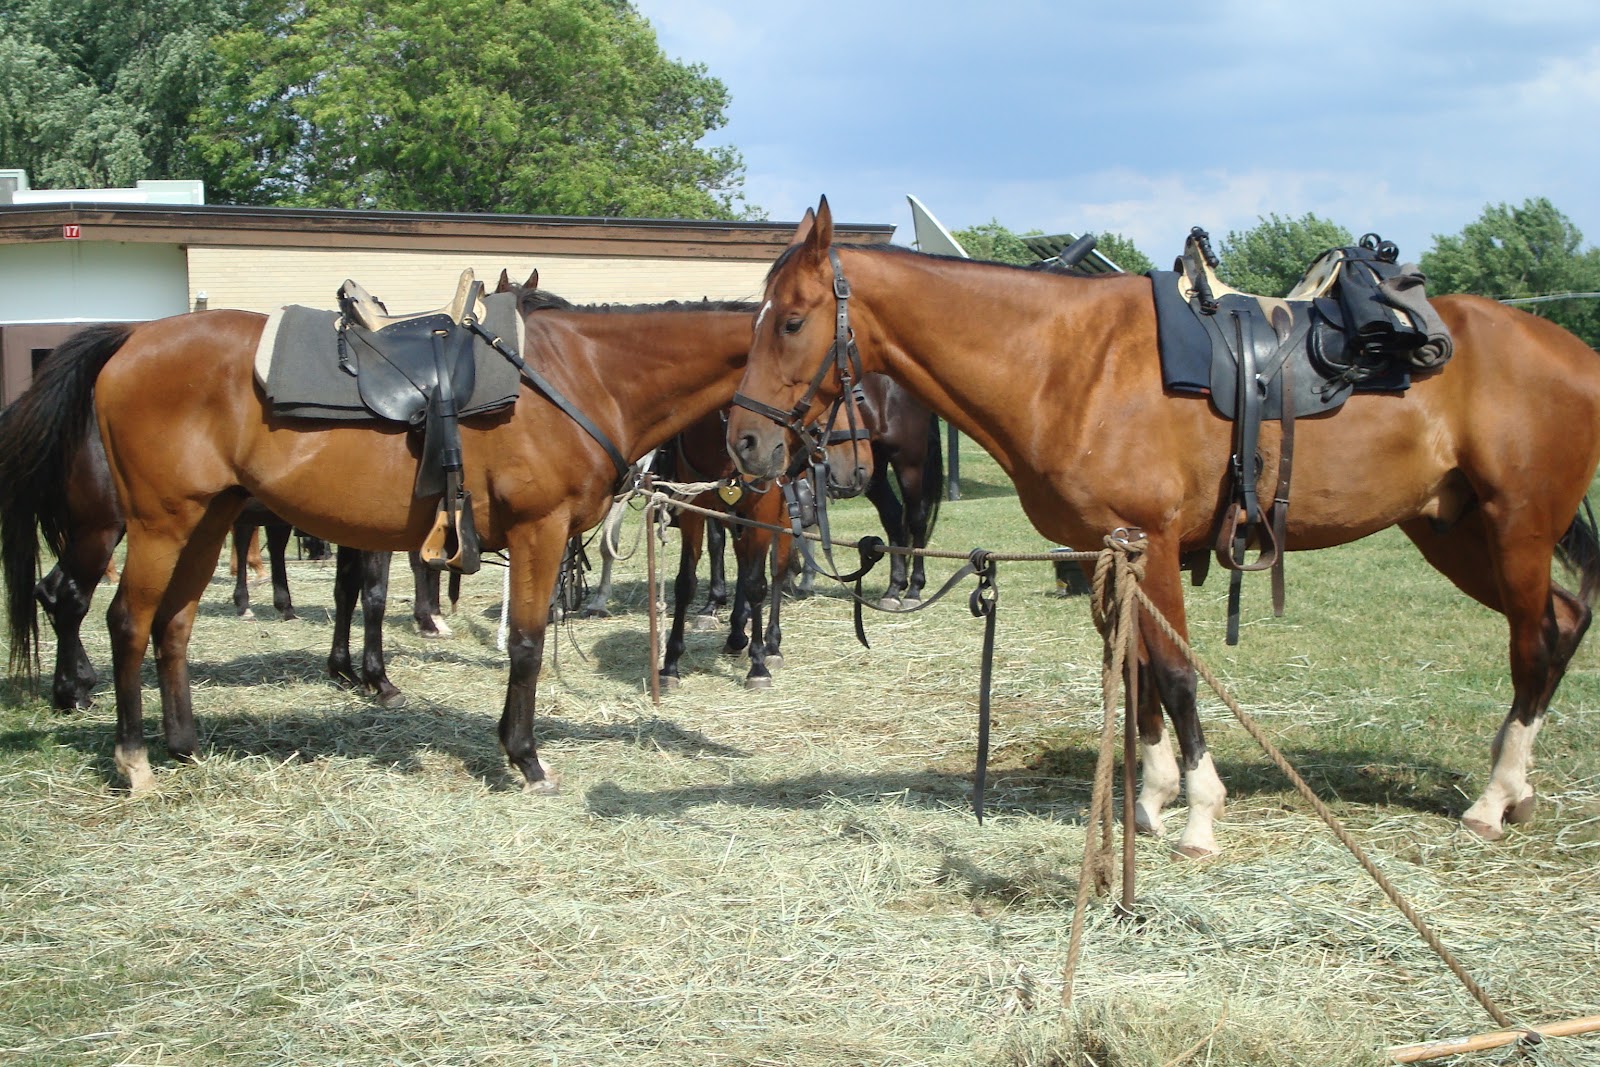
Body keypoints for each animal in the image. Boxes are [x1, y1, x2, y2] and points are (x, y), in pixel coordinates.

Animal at [0, 281, 855, 795]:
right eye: (848, 376)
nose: (829, 468)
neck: (583, 372)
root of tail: (129, 340)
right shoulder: (539, 533)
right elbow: (526, 643)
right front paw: (524, 756)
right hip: (154, 523)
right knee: (123, 620)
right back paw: (134, 757)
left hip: (207, 520)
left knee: (172, 623)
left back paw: (183, 743)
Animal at [726, 198, 1600, 856]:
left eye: (793, 321)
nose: (746, 442)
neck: (1067, 365)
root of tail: (1574, 353)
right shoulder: (1106, 555)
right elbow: (1136, 670)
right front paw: (1149, 801)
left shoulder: (1152, 544)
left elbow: (1174, 672)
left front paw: (1200, 813)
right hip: (1455, 532)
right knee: (1561, 621)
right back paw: (1515, 790)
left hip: (1516, 529)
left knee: (1534, 640)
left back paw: (1492, 800)